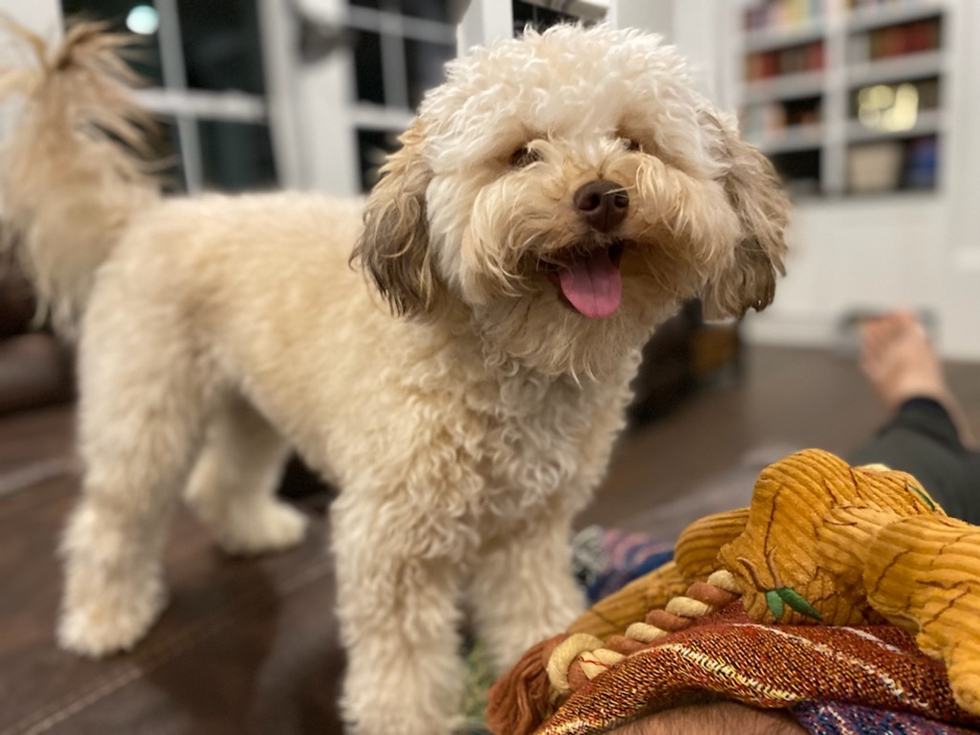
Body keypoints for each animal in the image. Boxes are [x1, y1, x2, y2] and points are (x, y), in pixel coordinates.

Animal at [0, 20, 788, 735]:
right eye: (521, 154)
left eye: (635, 142)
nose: (603, 195)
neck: (508, 360)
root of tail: (143, 221)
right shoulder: (391, 542)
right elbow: (404, 666)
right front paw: (413, 717)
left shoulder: (529, 530)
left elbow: (534, 612)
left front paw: (549, 673)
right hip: (144, 410)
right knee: (110, 520)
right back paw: (104, 617)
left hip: (250, 406)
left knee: (221, 477)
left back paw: (253, 531)